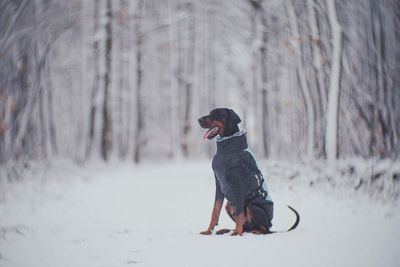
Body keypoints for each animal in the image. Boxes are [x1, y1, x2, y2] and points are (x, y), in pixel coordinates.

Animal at [198, 108, 298, 236]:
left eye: (216, 113)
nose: (199, 120)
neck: (226, 150)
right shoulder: (219, 184)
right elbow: (215, 210)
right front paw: (208, 231)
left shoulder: (239, 185)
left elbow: (239, 213)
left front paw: (237, 233)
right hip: (229, 205)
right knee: (246, 226)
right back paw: (227, 230)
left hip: (252, 205)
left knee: (264, 230)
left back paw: (250, 231)